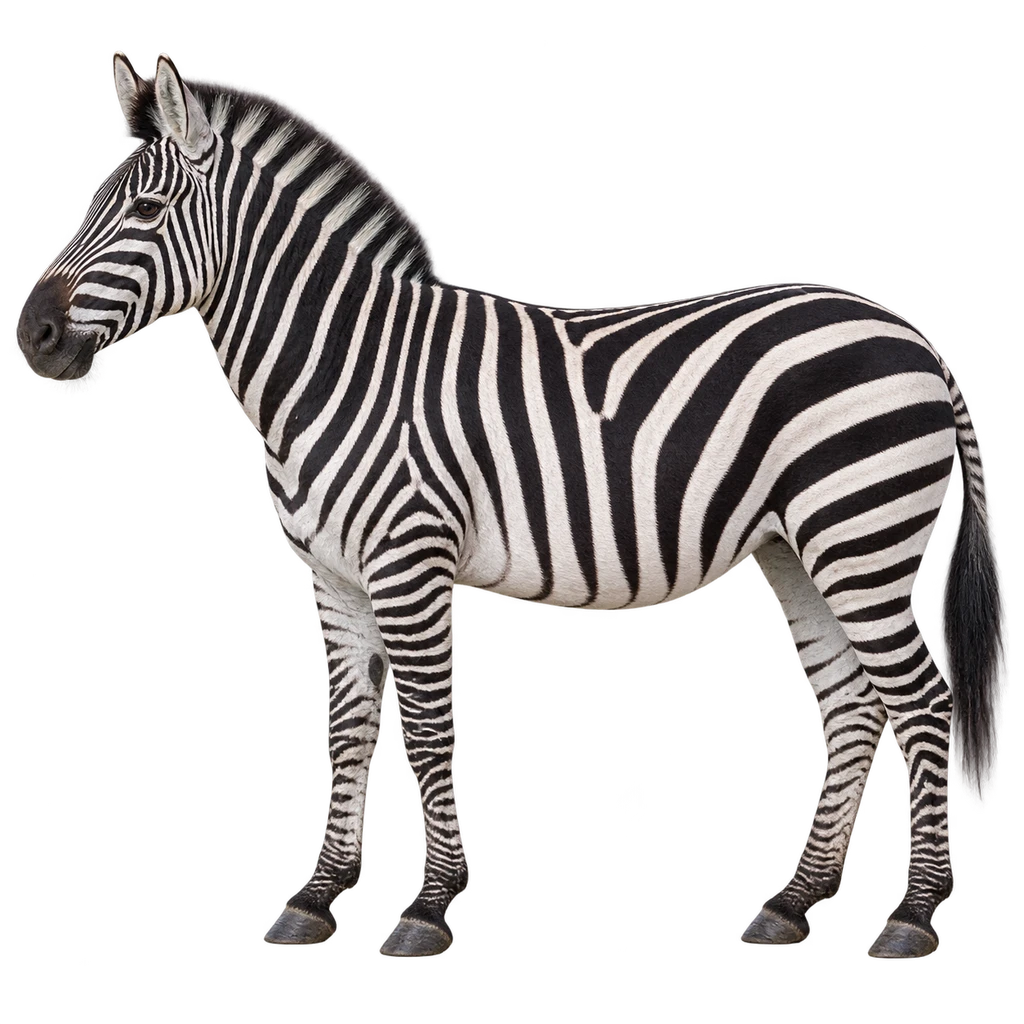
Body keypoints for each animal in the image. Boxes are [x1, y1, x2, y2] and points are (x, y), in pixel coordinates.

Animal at [15, 51, 1006, 960]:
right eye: (91, 205)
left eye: (146, 213)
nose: (34, 337)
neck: (340, 366)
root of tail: (912, 333)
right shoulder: (330, 578)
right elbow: (348, 732)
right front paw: (317, 899)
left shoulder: (409, 563)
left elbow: (425, 732)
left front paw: (425, 909)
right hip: (799, 551)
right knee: (848, 705)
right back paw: (793, 906)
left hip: (861, 536)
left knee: (921, 705)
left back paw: (913, 918)